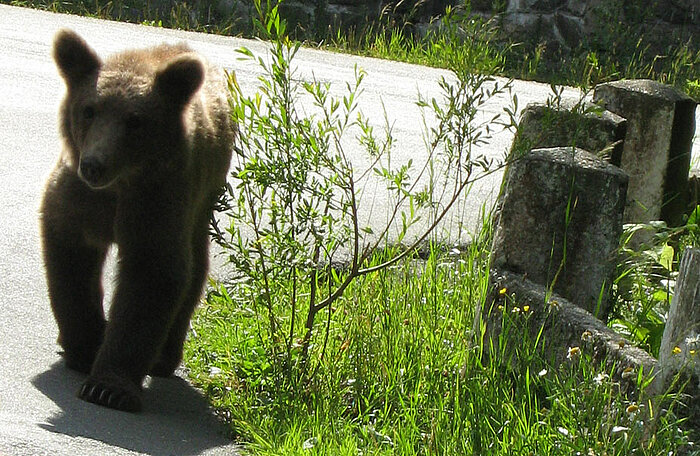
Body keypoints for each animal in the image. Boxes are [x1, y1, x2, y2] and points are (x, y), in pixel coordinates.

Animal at [41, 30, 235, 412]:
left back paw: (163, 358)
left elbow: (151, 275)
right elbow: (71, 260)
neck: (119, 185)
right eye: (89, 110)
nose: (94, 164)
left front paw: (108, 387)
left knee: (194, 268)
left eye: (135, 120)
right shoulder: (80, 198)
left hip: (200, 199)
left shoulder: (157, 200)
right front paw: (84, 346)